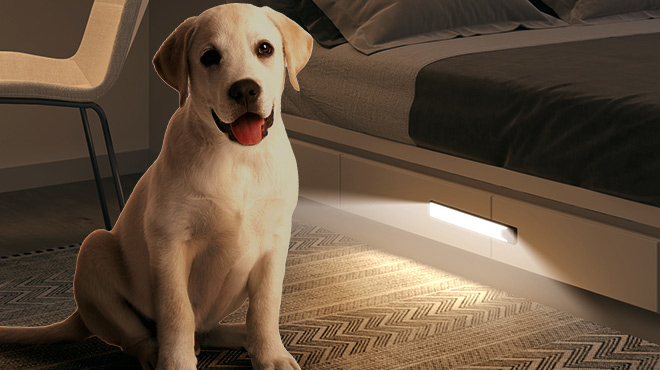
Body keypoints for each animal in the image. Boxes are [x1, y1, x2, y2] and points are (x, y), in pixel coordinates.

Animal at [0, 3, 314, 370]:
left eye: (264, 48)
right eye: (210, 57)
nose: (245, 89)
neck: (238, 157)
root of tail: (81, 315)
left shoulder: (275, 240)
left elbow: (265, 306)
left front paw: (271, 355)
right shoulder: (170, 241)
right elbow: (176, 312)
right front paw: (176, 362)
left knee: (209, 330)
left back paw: (242, 336)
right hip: (94, 250)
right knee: (137, 336)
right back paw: (156, 351)